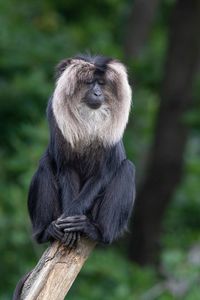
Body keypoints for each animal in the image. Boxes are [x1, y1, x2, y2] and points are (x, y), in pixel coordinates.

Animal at [12, 53, 136, 298]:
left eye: (102, 83)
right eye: (89, 83)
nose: (97, 93)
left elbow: (103, 174)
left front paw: (74, 220)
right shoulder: (56, 118)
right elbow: (65, 168)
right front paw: (64, 224)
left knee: (126, 169)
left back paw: (95, 231)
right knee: (45, 165)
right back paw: (48, 231)